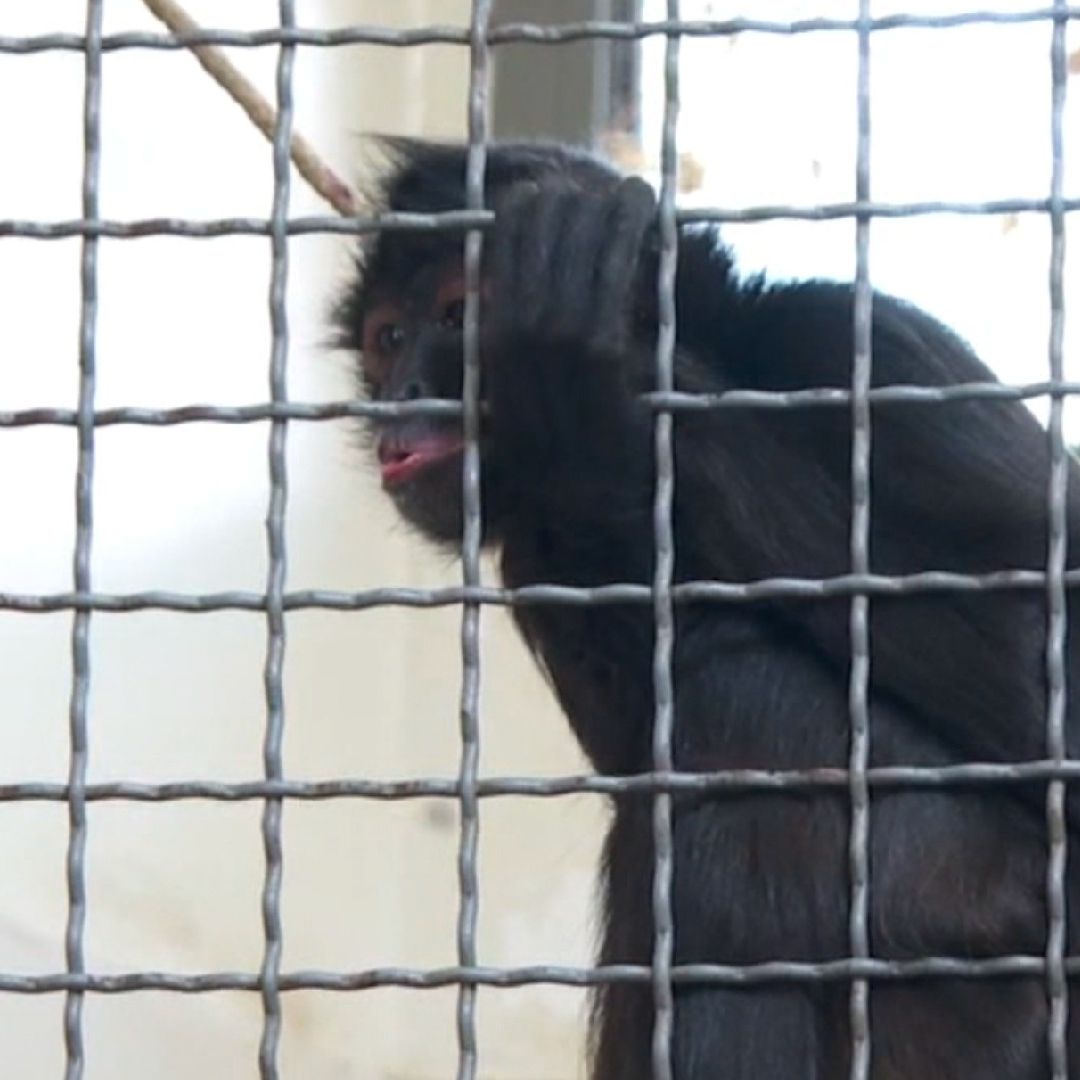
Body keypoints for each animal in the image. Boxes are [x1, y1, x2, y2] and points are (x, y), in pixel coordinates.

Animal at [337, 138, 1080, 1078]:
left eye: (456, 314)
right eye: (389, 338)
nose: (401, 394)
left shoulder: (868, 339)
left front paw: (601, 366)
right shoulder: (540, 543)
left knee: (749, 701)